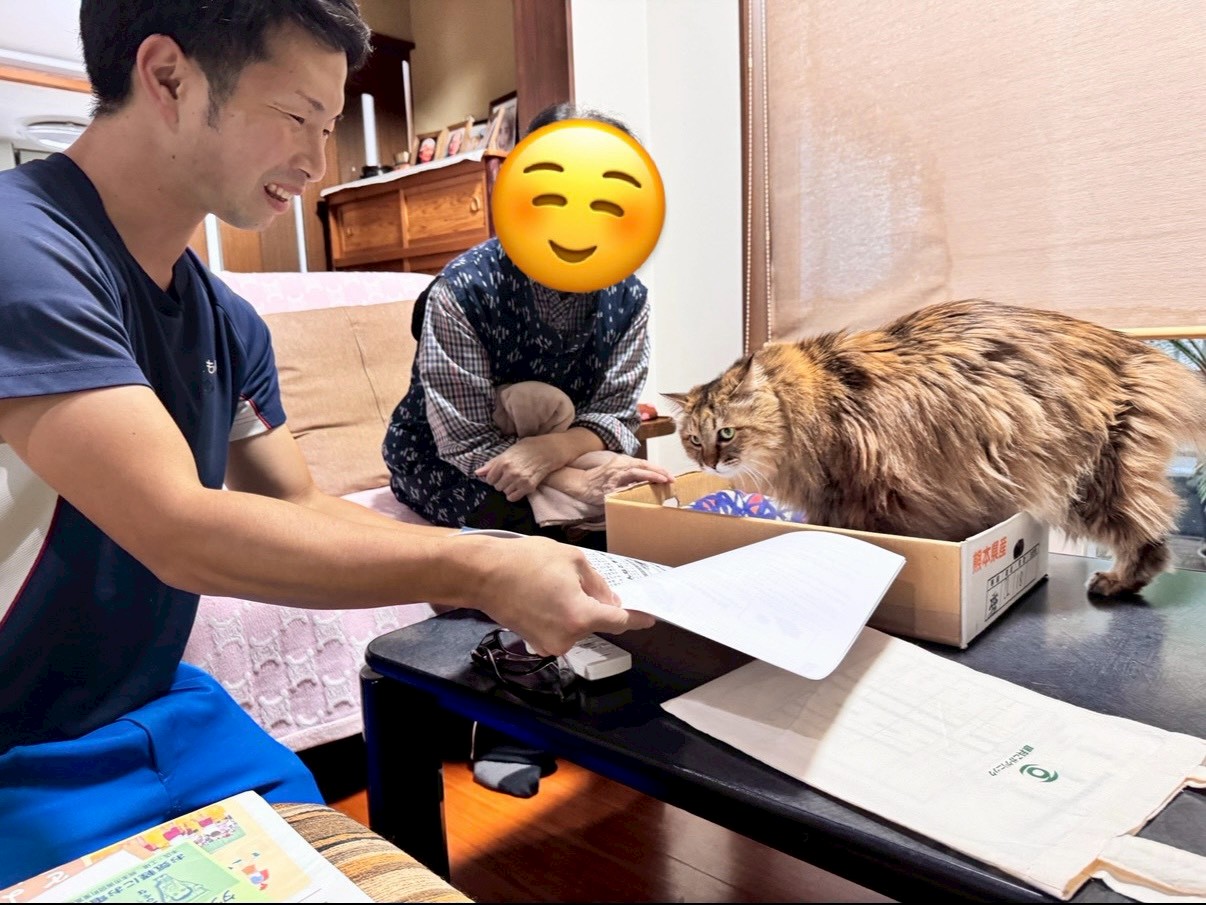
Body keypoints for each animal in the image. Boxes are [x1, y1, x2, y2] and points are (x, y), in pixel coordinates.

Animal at [664, 299, 1206, 597]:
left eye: (726, 434)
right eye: (694, 439)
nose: (710, 461)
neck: (806, 400)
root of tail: (1130, 349)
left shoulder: (852, 494)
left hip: (1087, 483)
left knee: (1150, 535)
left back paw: (1117, 582)